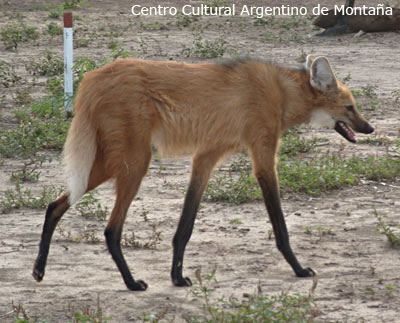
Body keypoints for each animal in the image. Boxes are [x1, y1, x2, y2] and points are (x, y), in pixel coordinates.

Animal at [32, 55, 374, 292]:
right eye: (350, 107)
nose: (369, 128)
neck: (284, 93)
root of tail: (92, 77)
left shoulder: (207, 156)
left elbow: (185, 225)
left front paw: (177, 276)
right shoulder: (263, 159)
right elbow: (280, 227)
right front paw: (300, 269)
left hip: (108, 162)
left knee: (54, 206)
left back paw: (38, 270)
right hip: (135, 162)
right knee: (111, 229)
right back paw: (131, 283)